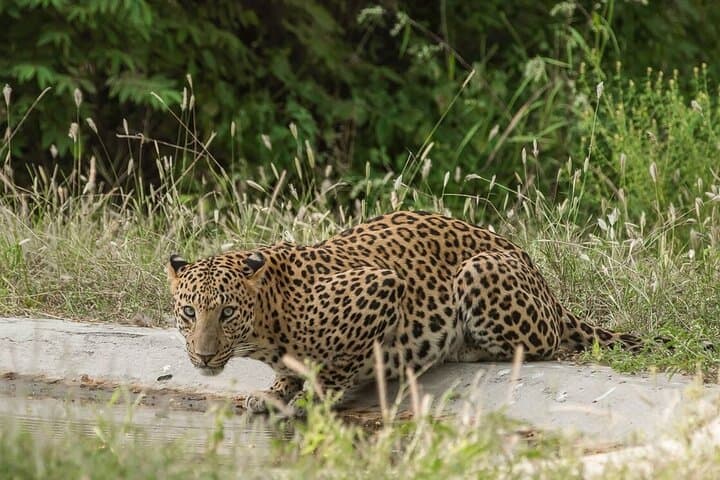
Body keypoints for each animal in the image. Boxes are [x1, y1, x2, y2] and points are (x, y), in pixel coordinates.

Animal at [167, 210, 641, 415]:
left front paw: (318, 396)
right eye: (189, 312)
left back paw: (464, 348)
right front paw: (277, 391)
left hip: (478, 270)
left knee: (546, 344)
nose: (203, 356)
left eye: (227, 312)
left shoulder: (381, 286)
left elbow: (339, 367)